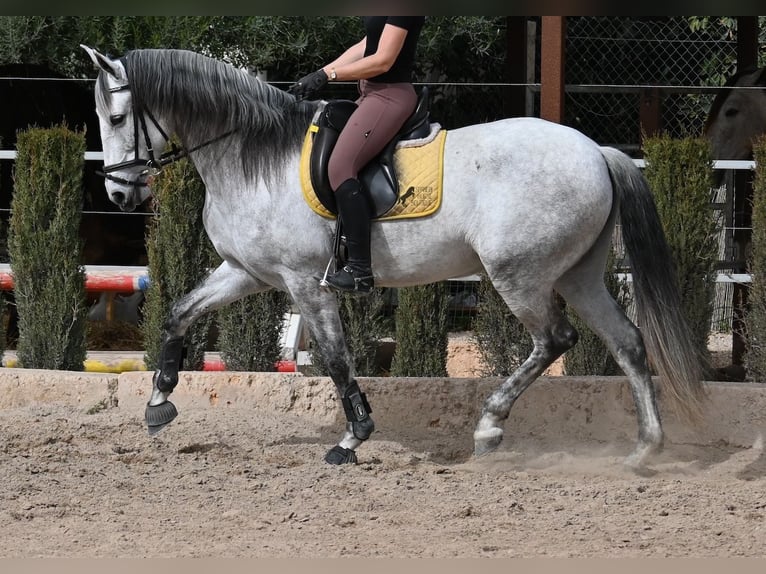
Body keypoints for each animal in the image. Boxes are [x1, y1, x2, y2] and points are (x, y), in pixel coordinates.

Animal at [82, 47, 708, 470]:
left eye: (116, 119)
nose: (118, 195)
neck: (250, 153)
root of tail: (597, 151)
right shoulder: (247, 273)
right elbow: (179, 313)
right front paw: (159, 402)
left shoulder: (305, 283)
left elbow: (336, 359)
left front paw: (352, 438)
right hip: (578, 275)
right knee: (627, 341)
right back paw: (643, 450)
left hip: (519, 275)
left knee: (554, 340)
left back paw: (490, 428)